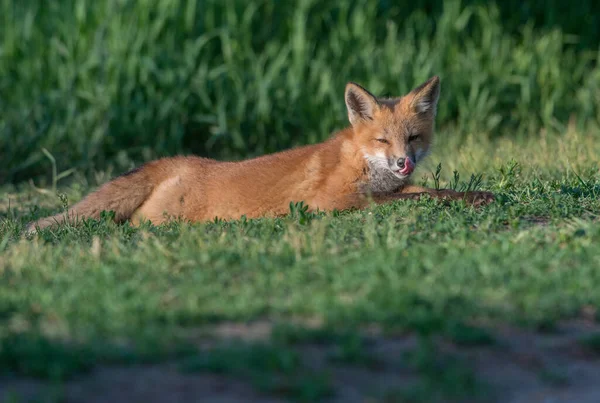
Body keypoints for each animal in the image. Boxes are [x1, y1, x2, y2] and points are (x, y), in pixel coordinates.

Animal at [25, 76, 494, 234]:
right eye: (382, 140)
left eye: (412, 138)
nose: (403, 162)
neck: (359, 161)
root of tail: (179, 160)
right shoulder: (332, 202)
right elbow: (412, 198)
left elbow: (432, 191)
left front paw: (477, 197)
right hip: (168, 217)